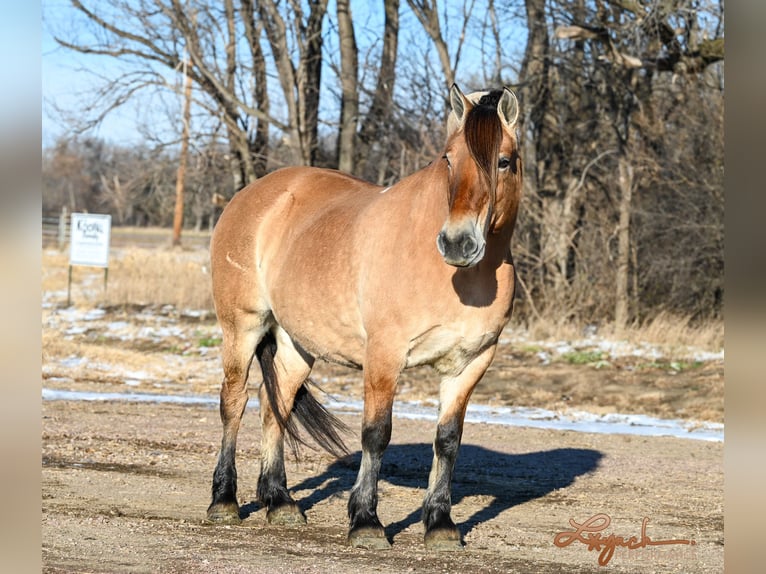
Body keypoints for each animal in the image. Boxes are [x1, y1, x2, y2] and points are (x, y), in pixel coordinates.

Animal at [207, 83, 524, 552]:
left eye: (503, 160)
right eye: (449, 159)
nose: (457, 243)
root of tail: (252, 195)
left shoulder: (471, 363)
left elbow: (448, 441)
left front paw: (440, 524)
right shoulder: (384, 357)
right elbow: (376, 434)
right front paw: (366, 522)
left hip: (298, 344)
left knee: (274, 403)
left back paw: (280, 502)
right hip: (242, 327)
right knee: (234, 402)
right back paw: (224, 501)